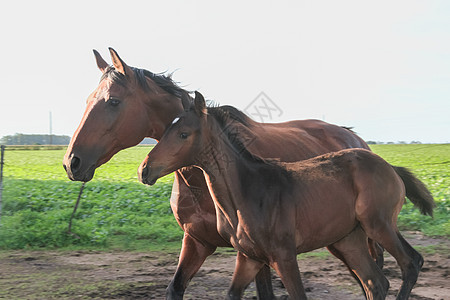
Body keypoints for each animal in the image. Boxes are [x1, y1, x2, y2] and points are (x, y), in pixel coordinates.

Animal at [64, 48, 398, 298]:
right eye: (87, 100)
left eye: (113, 101)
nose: (72, 162)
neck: (201, 180)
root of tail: (353, 138)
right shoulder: (197, 241)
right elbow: (175, 288)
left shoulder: (260, 254)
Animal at [139, 91, 434, 300]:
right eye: (166, 130)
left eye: (183, 133)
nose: (145, 170)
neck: (247, 192)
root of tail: (390, 167)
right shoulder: (249, 257)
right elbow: (233, 293)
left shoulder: (284, 256)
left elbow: (297, 295)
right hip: (349, 240)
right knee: (376, 282)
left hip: (379, 225)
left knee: (411, 263)